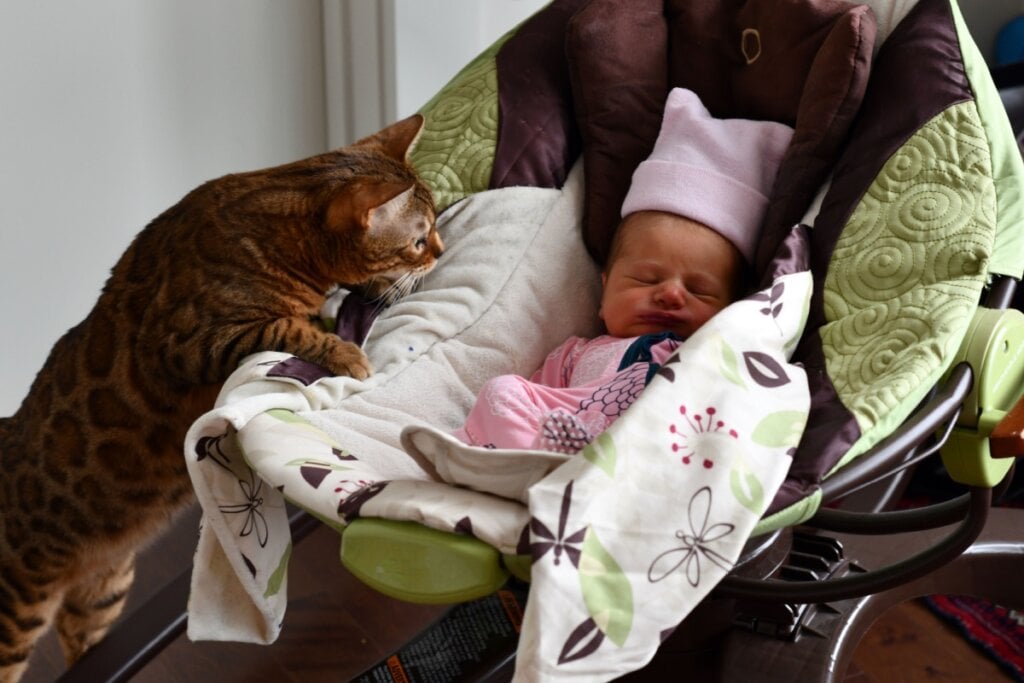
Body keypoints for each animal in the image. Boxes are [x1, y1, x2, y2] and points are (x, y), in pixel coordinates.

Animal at [0, 113, 442, 681]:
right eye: (419, 241)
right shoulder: (186, 344)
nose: (441, 251)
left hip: (102, 594)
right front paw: (344, 353)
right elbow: (285, 327)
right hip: (15, 609)